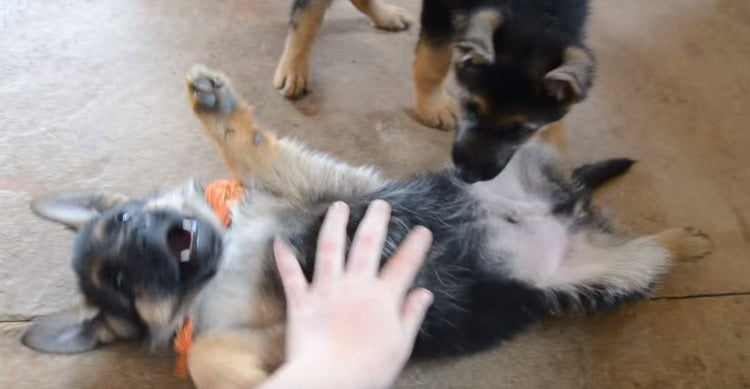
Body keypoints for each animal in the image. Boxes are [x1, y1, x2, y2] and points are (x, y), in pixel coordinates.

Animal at [25, 66, 716, 388]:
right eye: (119, 279)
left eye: (124, 219)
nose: (150, 241)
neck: (230, 256)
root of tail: (565, 208)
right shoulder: (278, 328)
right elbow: (208, 355)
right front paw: (251, 379)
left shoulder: (316, 183)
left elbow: (246, 148)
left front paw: (213, 105)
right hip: (599, 275)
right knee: (642, 247)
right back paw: (686, 239)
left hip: (504, 166)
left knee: (553, 141)